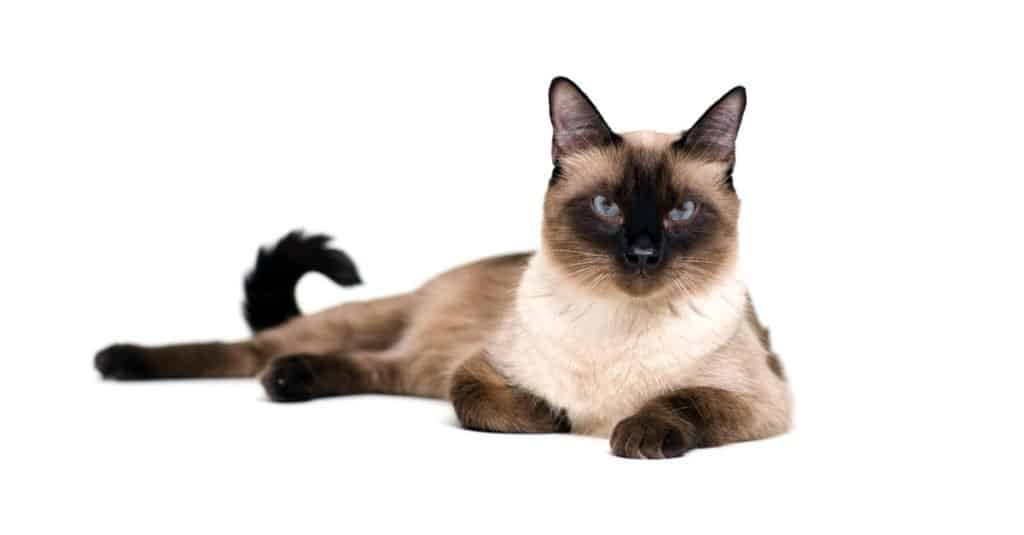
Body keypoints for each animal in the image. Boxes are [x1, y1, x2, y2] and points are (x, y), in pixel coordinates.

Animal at [96, 75, 790, 457]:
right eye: (606, 207)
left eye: (681, 213)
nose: (643, 254)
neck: (618, 325)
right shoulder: (479, 366)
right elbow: (479, 401)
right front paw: (553, 419)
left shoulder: (763, 402)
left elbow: (684, 400)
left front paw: (634, 433)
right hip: (374, 325)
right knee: (248, 348)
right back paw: (121, 361)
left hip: (413, 366)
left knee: (374, 365)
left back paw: (291, 380)